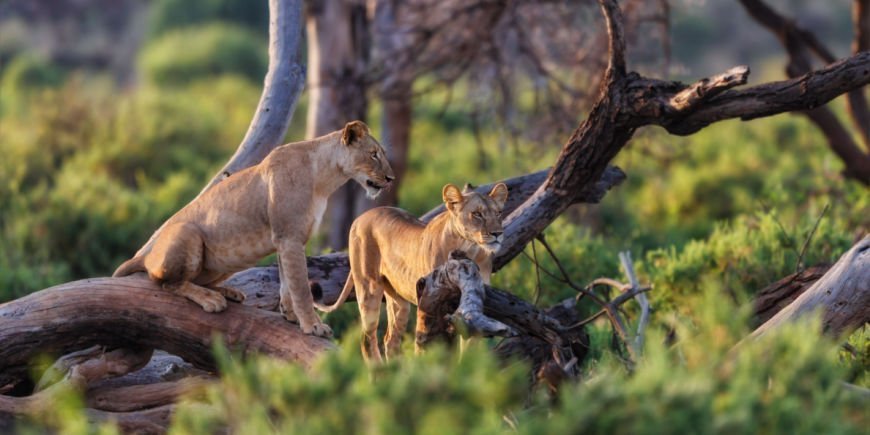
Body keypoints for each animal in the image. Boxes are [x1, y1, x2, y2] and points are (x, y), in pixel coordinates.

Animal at [113, 120, 394, 338]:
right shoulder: (290, 237)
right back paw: (211, 299)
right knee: (166, 282)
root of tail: (144, 255)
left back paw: (227, 292)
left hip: (224, 262)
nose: (391, 179)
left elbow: (286, 281)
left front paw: (290, 315)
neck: (325, 178)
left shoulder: (284, 240)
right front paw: (313, 326)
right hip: (188, 234)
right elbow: (301, 286)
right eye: (373, 154)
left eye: (381, 153)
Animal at [317, 182, 508, 361]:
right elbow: (425, 343)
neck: (469, 248)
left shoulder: (473, 307)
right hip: (368, 289)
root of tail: (360, 218)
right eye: (477, 214)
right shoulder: (429, 299)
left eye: (498, 213)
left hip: (399, 302)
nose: (498, 233)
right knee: (367, 339)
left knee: (390, 339)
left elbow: (469, 350)